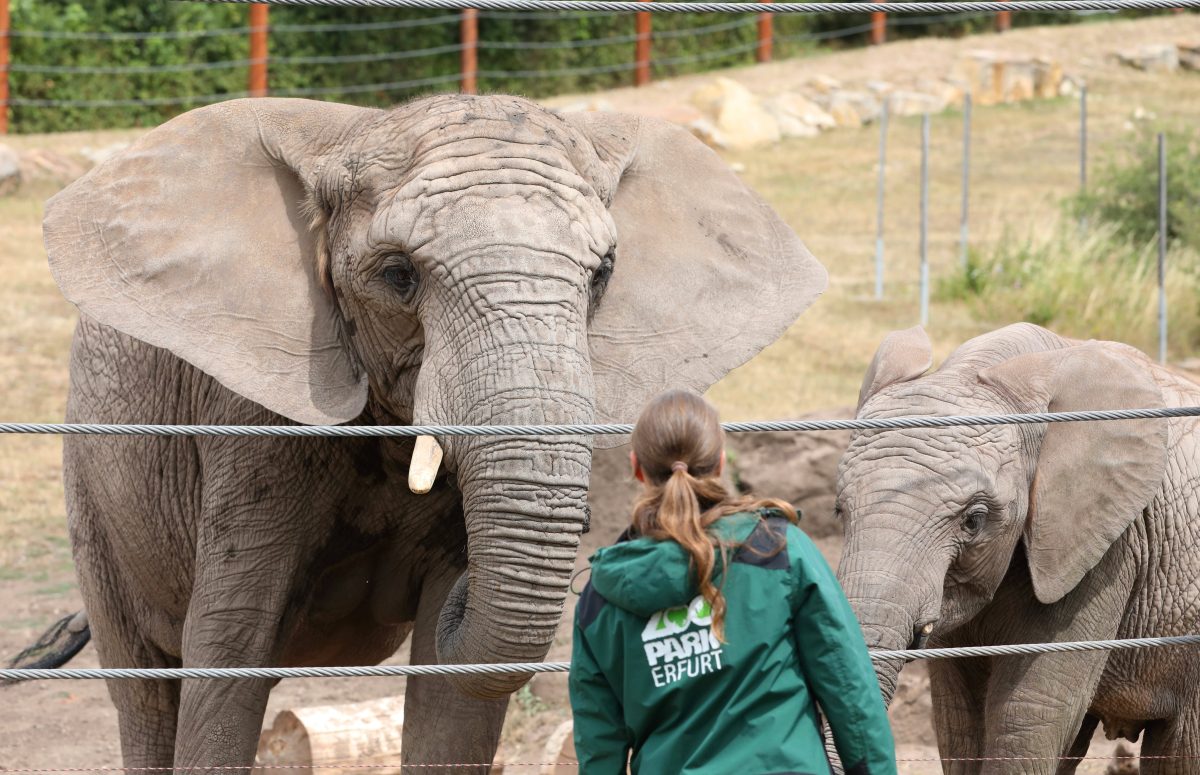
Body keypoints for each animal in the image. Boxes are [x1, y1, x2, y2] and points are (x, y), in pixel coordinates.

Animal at [37, 97, 825, 775]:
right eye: (397, 275)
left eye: (602, 274)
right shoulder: (245, 419)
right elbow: (231, 647)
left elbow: (454, 698)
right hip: (90, 483)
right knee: (146, 690)